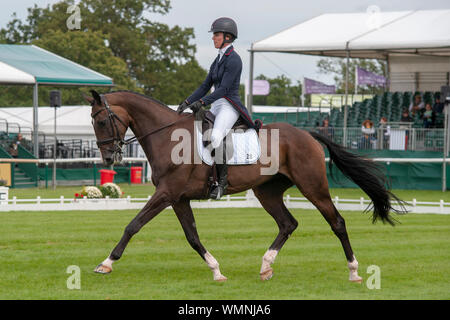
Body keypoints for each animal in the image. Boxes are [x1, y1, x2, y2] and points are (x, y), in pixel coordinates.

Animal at [86, 89, 402, 282]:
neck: (168, 137)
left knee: (337, 222)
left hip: (312, 187)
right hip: (267, 191)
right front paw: (216, 270)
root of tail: (307, 134)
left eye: (101, 122)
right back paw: (265, 266)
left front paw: (106, 263)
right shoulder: (178, 198)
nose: (109, 157)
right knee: (288, 223)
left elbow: (133, 225)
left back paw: (354, 271)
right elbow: (192, 236)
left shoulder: (166, 193)